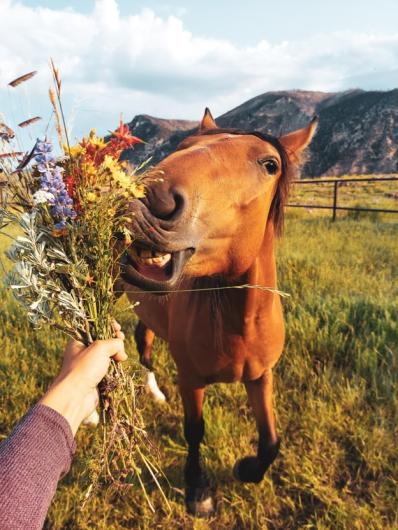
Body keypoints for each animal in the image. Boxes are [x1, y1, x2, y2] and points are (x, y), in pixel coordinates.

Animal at [118, 108, 318, 516]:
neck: (240, 323)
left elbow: (271, 439)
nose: (151, 199)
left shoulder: (261, 377)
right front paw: (198, 490)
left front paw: (246, 470)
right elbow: (195, 431)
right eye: (183, 145)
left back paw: (154, 392)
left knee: (143, 340)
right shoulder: (191, 380)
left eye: (270, 164)